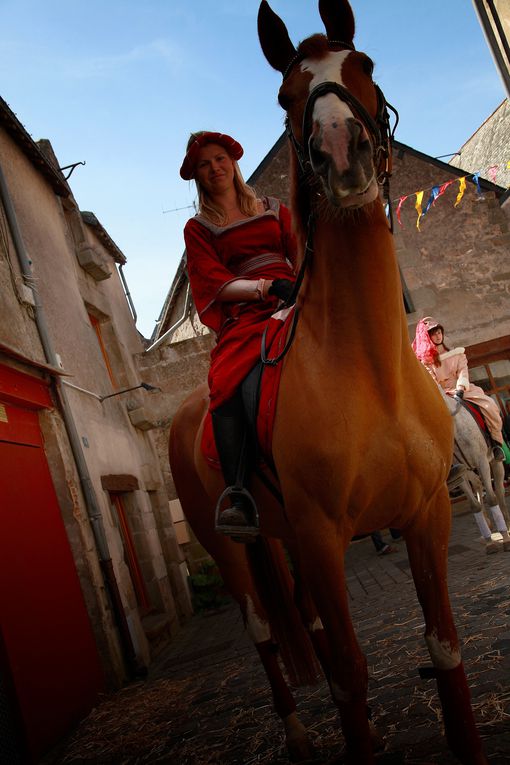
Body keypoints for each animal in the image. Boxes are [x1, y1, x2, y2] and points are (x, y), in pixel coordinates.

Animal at [167, 2, 486, 760]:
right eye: (287, 95)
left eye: (363, 65)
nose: (343, 154)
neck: (366, 367)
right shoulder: (318, 539)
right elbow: (348, 675)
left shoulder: (425, 513)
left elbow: (445, 645)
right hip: (233, 548)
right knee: (264, 635)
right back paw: (297, 732)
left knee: (299, 627)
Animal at [444, 390, 508, 552]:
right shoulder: (460, 473)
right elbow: (474, 506)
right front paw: (489, 542)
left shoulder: (482, 462)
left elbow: (492, 499)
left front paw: (505, 538)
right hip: (471, 471)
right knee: (478, 484)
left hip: (495, 463)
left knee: (499, 492)